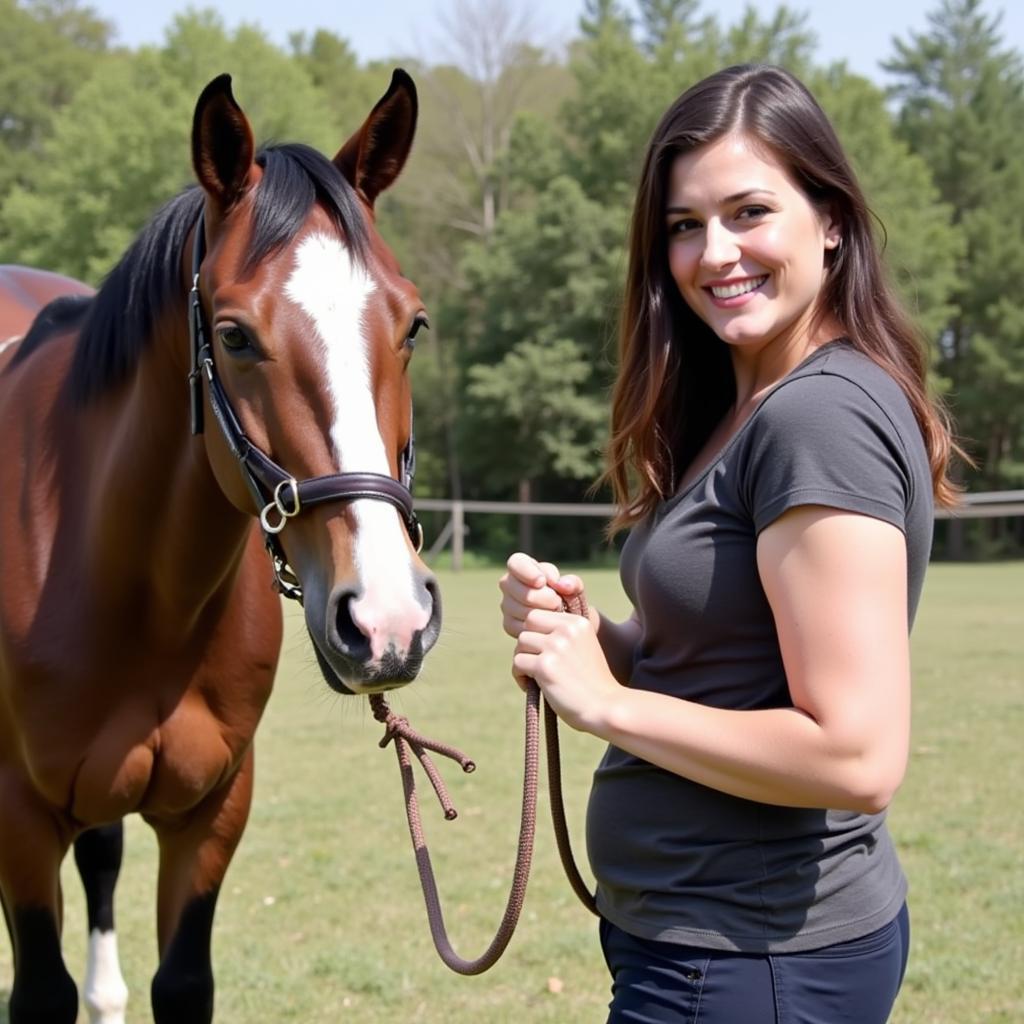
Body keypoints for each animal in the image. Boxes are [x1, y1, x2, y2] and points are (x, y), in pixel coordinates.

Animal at [0, 72, 436, 1024]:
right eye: (233, 334)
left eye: (414, 325)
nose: (386, 620)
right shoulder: (17, 818)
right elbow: (39, 990)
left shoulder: (212, 810)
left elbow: (182, 982)